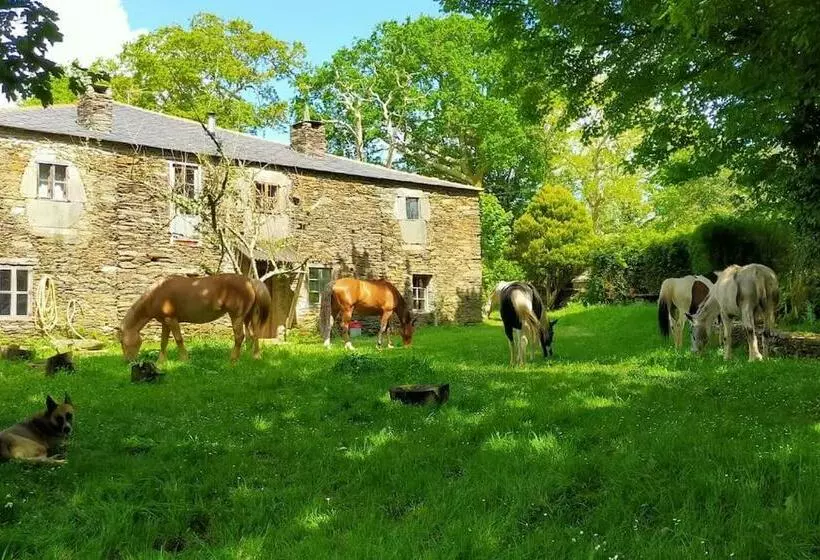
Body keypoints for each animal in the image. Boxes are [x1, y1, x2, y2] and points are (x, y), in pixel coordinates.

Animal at [116, 273, 272, 364]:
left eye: (122, 342)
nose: (128, 361)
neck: (157, 293)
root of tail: (249, 280)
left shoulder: (171, 320)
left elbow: (178, 339)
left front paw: (185, 360)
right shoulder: (165, 323)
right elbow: (163, 342)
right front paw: (161, 362)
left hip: (237, 316)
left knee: (240, 337)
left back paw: (233, 360)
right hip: (249, 316)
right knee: (253, 335)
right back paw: (254, 356)